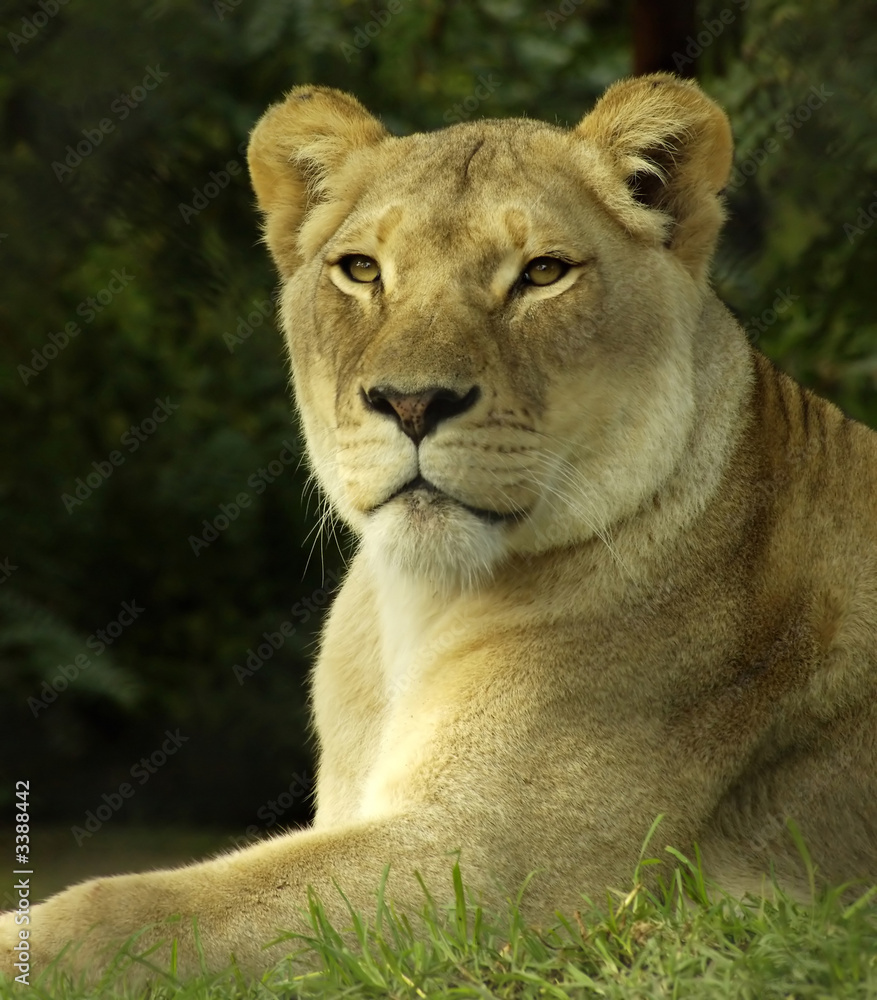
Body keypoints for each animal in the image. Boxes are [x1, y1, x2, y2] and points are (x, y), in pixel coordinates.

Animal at [3, 72, 876, 986]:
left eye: (541, 273)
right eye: (360, 270)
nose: (412, 402)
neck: (415, 604)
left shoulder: (488, 868)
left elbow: (130, 911)